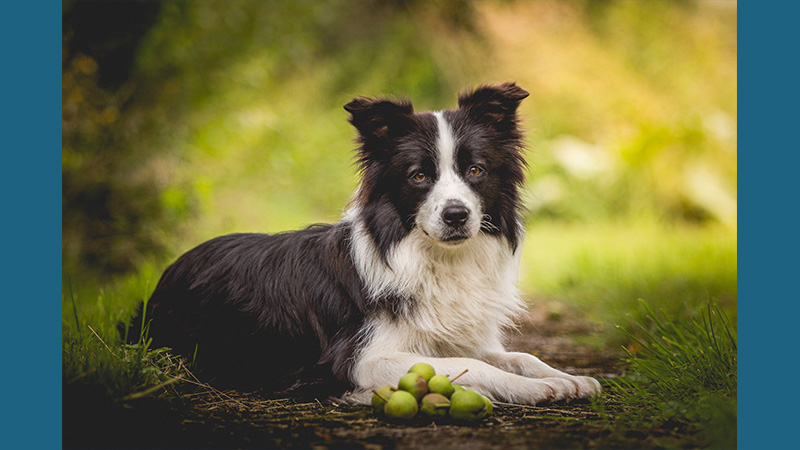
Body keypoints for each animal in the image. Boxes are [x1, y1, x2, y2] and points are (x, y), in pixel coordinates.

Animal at [134, 82, 600, 406]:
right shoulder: (364, 359)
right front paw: (532, 389)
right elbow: (464, 365)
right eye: (419, 176)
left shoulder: (457, 337)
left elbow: (515, 356)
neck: (434, 258)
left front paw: (565, 377)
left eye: (475, 170)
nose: (456, 215)